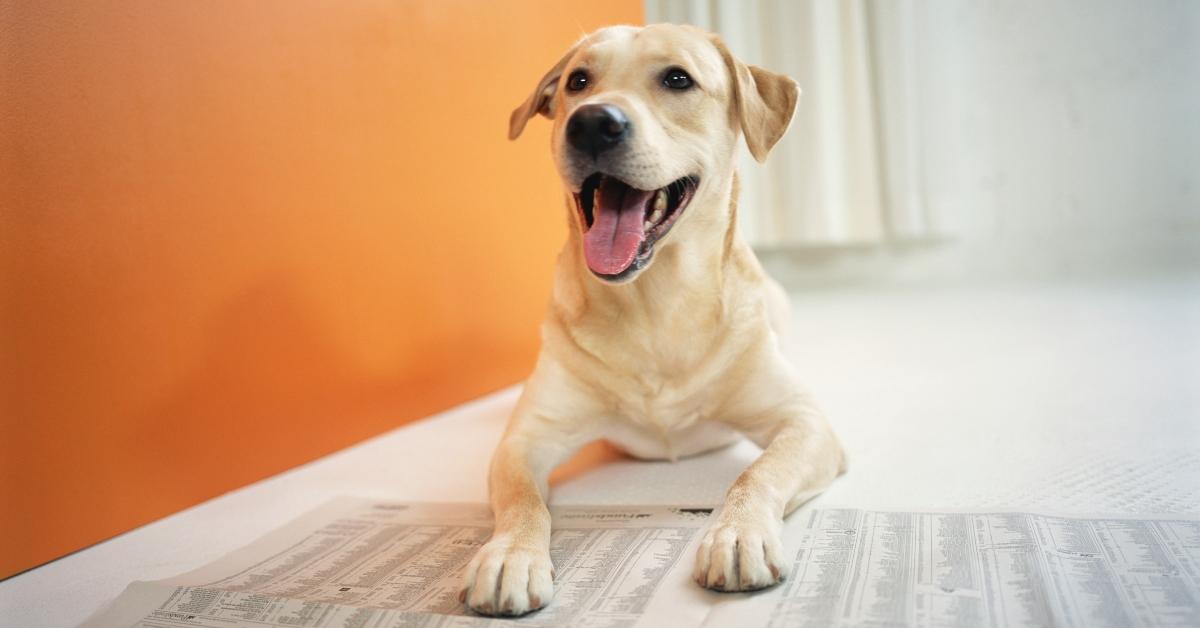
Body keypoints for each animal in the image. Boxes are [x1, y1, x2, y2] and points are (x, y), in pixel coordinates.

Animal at [456, 23, 844, 614]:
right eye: (578, 81)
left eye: (678, 79)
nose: (593, 121)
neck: (655, 303)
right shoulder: (524, 439)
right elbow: (523, 499)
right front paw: (510, 555)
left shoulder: (806, 423)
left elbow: (757, 473)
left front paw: (738, 532)